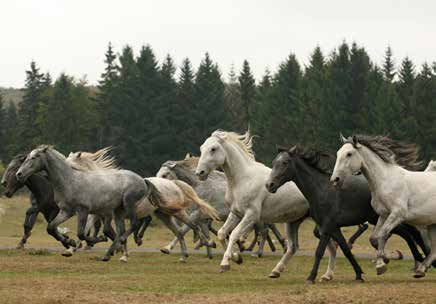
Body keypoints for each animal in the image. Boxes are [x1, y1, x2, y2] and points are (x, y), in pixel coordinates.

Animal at [157, 156, 286, 258]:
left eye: (165, 174)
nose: (157, 188)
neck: (198, 186)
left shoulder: (198, 213)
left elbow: (183, 230)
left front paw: (167, 248)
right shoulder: (202, 217)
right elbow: (202, 231)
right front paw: (210, 249)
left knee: (263, 231)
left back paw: (258, 252)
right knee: (263, 231)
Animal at [194, 131, 330, 278]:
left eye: (213, 149)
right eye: (202, 148)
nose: (199, 173)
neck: (243, 179)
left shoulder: (251, 215)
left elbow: (234, 234)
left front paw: (225, 263)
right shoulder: (236, 213)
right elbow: (222, 233)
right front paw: (236, 258)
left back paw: (327, 275)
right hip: (294, 221)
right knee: (294, 247)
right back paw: (276, 271)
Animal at [264, 145, 428, 282]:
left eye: (285, 163)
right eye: (274, 162)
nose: (269, 185)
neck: (322, 190)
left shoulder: (327, 227)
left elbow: (319, 251)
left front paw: (311, 277)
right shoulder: (334, 228)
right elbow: (346, 250)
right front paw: (358, 274)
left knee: (410, 234)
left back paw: (419, 261)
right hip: (379, 219)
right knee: (408, 234)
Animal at [330, 134, 436, 278]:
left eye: (349, 154)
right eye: (338, 153)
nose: (335, 180)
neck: (386, 181)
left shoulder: (397, 214)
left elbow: (383, 234)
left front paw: (381, 265)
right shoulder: (383, 214)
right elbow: (374, 238)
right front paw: (386, 258)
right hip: (432, 224)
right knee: (434, 250)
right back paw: (421, 269)